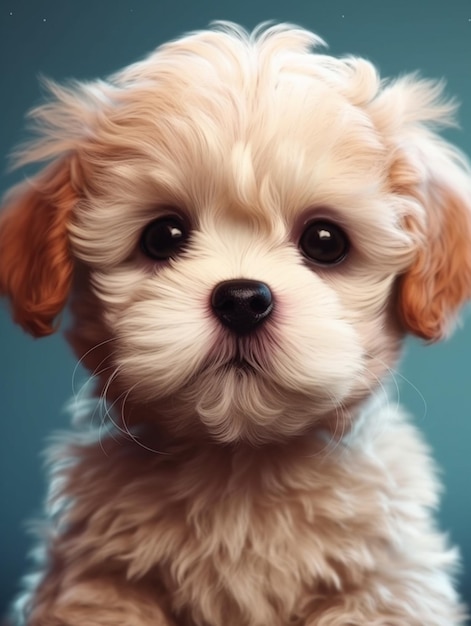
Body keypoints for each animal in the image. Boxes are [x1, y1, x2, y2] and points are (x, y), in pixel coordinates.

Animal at [0, 20, 471, 624]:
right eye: (163, 236)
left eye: (325, 241)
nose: (243, 299)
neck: (239, 466)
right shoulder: (97, 582)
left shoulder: (388, 582)